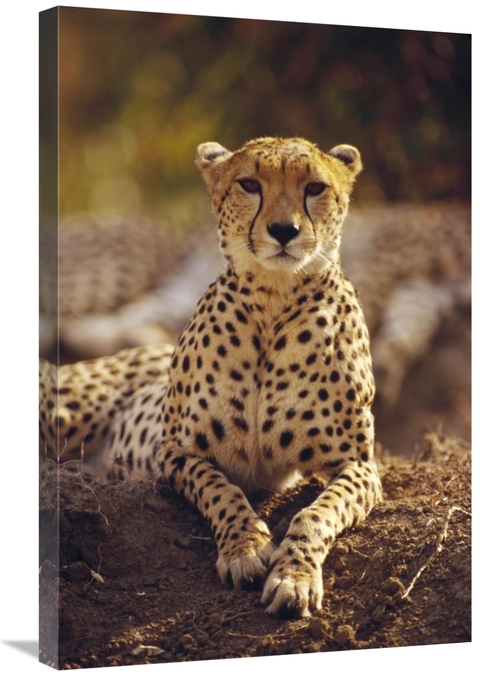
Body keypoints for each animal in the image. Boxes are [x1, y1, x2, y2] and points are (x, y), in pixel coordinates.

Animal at [40, 136, 383, 618]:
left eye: (315, 187)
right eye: (249, 184)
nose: (284, 230)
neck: (274, 299)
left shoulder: (359, 464)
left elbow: (317, 513)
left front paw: (294, 576)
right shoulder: (176, 452)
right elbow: (222, 492)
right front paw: (245, 549)